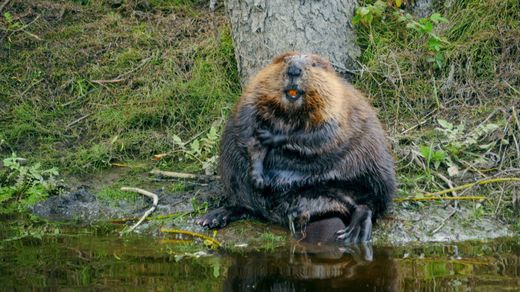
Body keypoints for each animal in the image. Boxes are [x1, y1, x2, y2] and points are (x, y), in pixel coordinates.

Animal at [196, 51, 394, 243]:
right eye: (285, 60)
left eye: (313, 64)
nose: (294, 70)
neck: (291, 112)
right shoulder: (252, 101)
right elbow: (249, 135)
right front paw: (259, 177)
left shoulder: (336, 110)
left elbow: (320, 136)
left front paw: (271, 140)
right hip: (233, 172)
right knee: (246, 204)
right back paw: (213, 217)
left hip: (369, 179)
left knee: (368, 204)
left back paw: (355, 231)